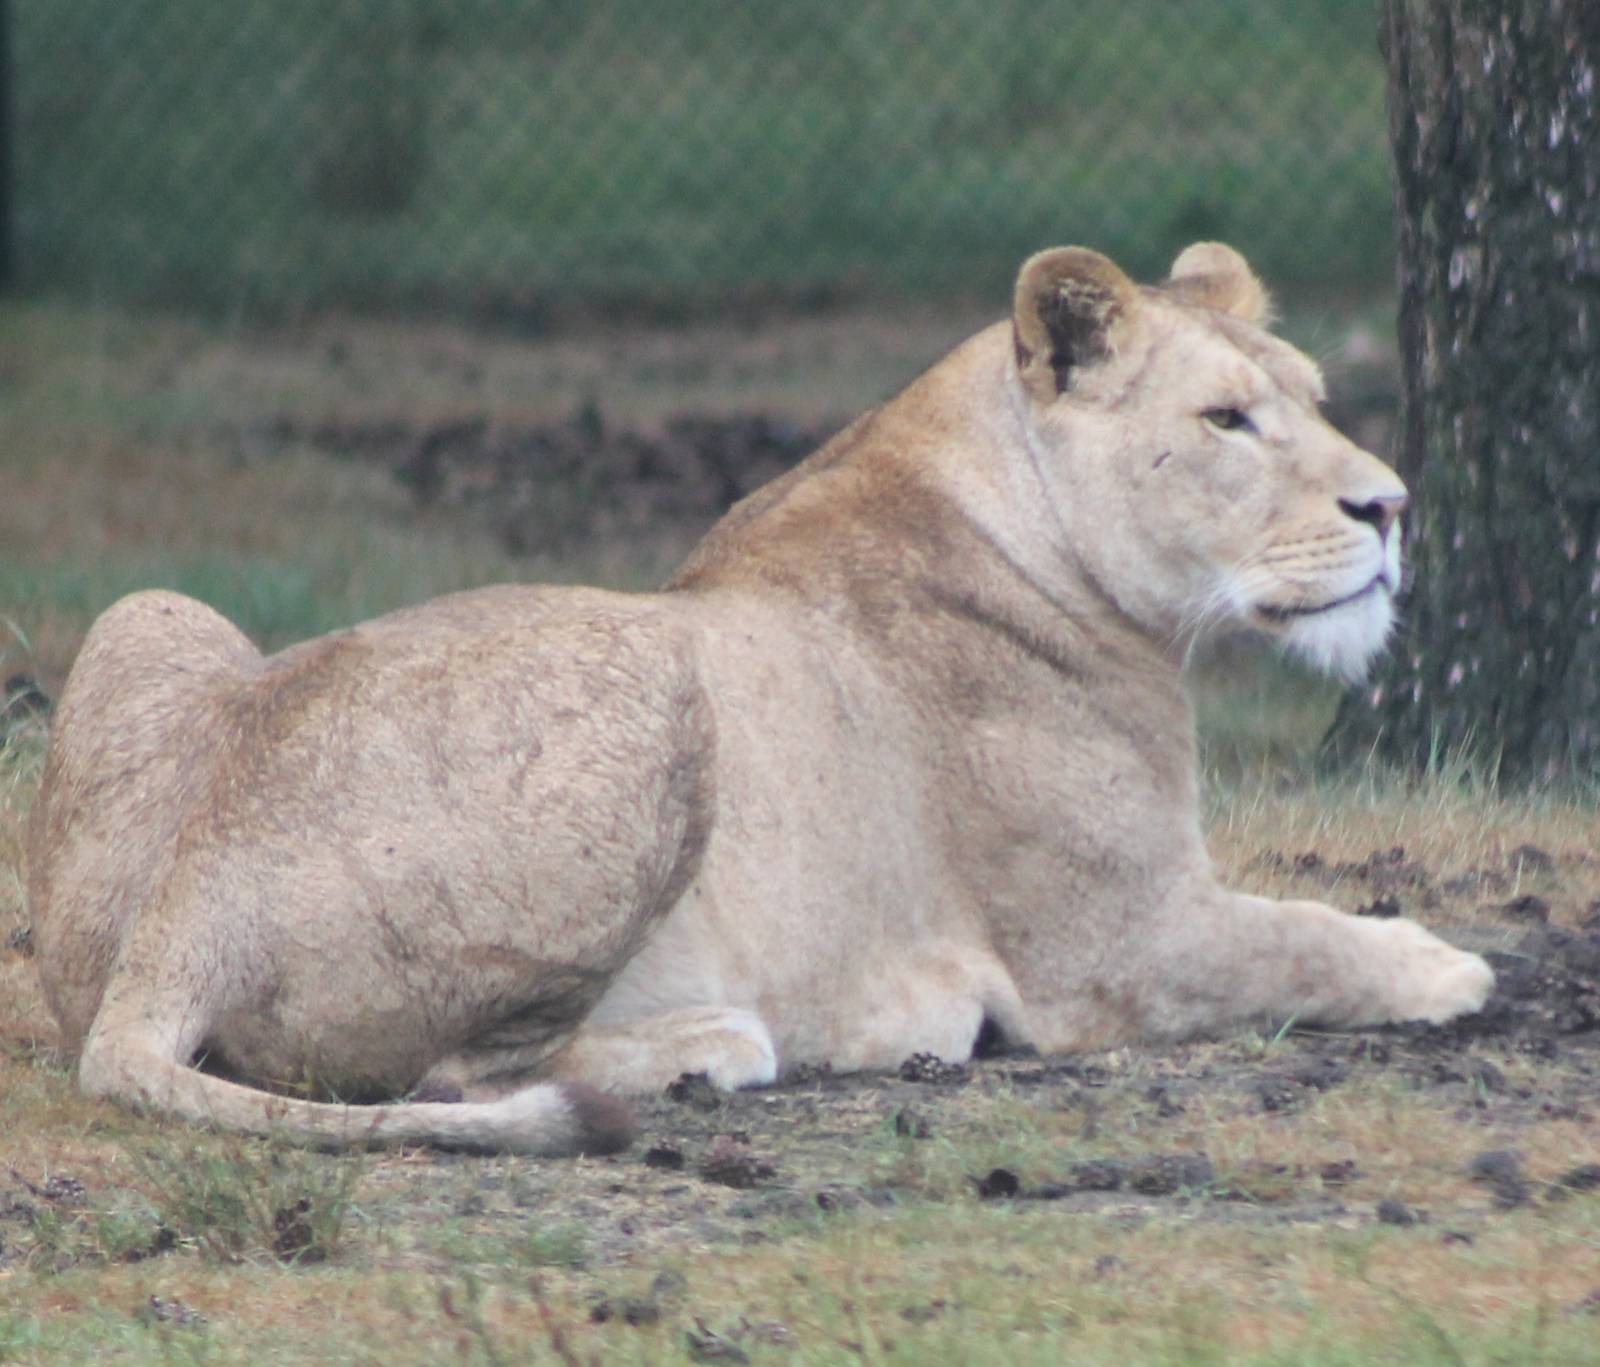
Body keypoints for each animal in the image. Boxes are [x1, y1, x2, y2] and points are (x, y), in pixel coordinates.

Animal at [26, 243, 1493, 1155]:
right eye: (1225, 421)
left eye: (1316, 399)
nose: (1393, 506)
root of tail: (187, 911)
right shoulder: (1109, 948)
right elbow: (1306, 937)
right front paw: (1448, 964)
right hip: (655, 680)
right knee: (453, 1071)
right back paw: (724, 1043)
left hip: (152, 610)